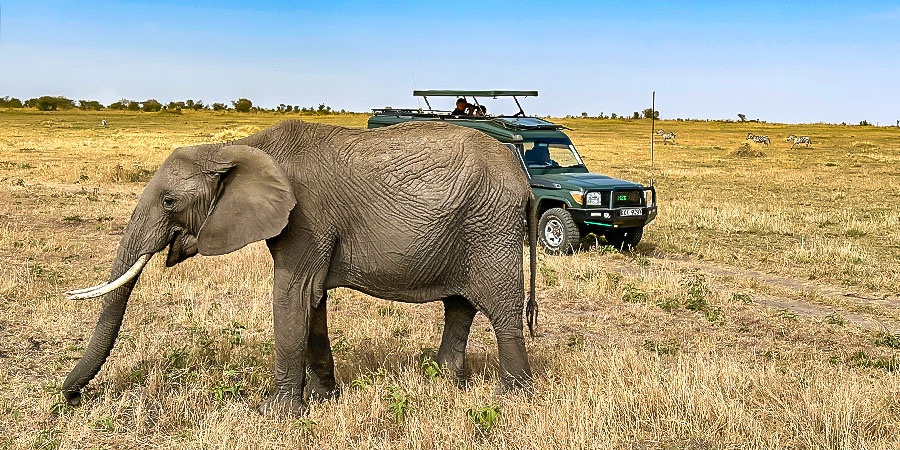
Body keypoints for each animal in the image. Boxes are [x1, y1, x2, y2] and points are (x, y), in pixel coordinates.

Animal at [65, 118, 540, 414]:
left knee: (501, 310)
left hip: (490, 227)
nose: (71, 398)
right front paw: (326, 399)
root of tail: (526, 182)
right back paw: (441, 385)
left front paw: (273, 414)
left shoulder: (307, 218)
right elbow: (312, 301)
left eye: (168, 202)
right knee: (459, 306)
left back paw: (513, 399)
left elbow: (291, 294)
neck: (237, 149)